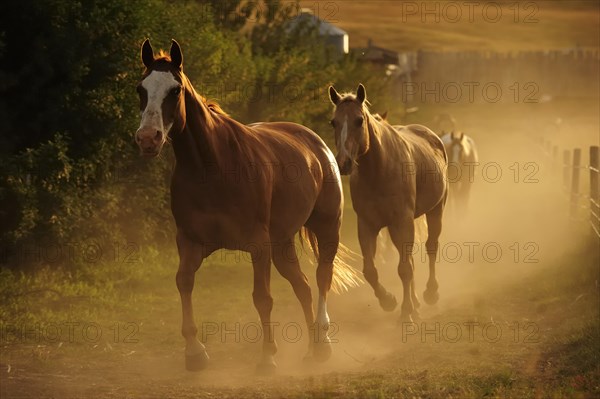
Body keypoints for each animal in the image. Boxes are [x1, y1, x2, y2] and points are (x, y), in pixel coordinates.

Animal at [135, 39, 360, 372]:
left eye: (175, 90)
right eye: (141, 88)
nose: (148, 138)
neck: (213, 166)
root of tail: (318, 145)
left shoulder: (258, 245)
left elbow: (262, 297)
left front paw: (267, 356)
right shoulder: (190, 241)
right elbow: (184, 282)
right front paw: (195, 353)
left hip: (326, 229)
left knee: (322, 277)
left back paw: (323, 341)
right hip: (282, 244)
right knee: (303, 286)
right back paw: (312, 348)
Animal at [328, 83, 446, 322]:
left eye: (359, 120)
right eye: (334, 122)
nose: (343, 162)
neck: (379, 170)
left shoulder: (403, 222)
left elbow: (405, 269)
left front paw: (406, 313)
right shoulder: (368, 226)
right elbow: (370, 271)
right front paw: (389, 301)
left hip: (436, 210)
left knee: (431, 247)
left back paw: (430, 293)